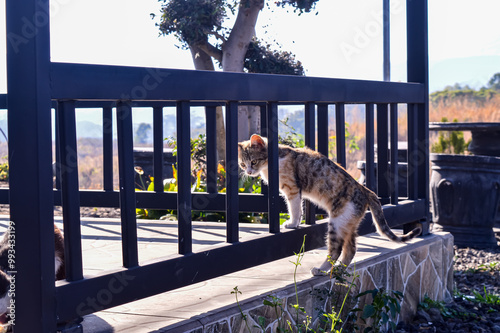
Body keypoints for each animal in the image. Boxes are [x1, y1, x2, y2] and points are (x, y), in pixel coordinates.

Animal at [238, 133, 422, 274]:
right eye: (242, 164)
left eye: (253, 162)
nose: (249, 171)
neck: (274, 160)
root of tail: (364, 190)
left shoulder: (292, 189)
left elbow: (295, 209)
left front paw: (292, 223)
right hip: (348, 223)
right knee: (351, 249)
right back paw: (339, 269)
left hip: (337, 223)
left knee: (336, 250)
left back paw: (320, 270)